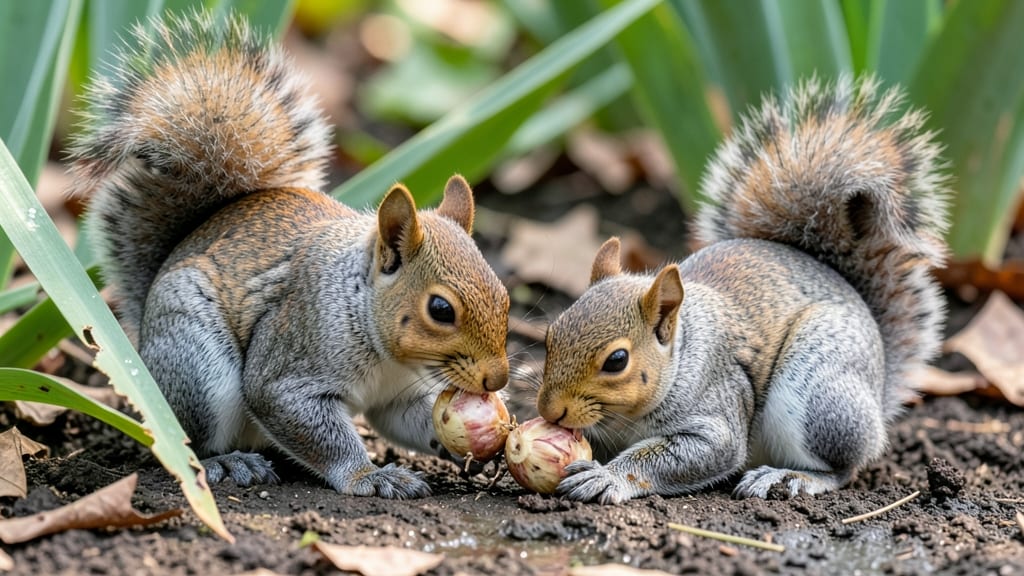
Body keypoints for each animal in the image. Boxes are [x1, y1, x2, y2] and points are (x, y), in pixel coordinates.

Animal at [68, 11, 510, 498]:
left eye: (505, 296)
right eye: (440, 309)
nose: (498, 380)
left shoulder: (398, 395)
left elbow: (409, 419)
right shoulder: (292, 359)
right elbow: (301, 417)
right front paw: (370, 476)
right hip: (197, 364)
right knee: (190, 442)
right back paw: (229, 462)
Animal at [536, 76, 949, 503]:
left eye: (617, 360)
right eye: (550, 336)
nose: (549, 412)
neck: (681, 356)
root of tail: (879, 385)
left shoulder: (717, 409)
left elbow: (686, 455)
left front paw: (607, 476)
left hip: (820, 389)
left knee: (844, 468)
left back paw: (791, 477)